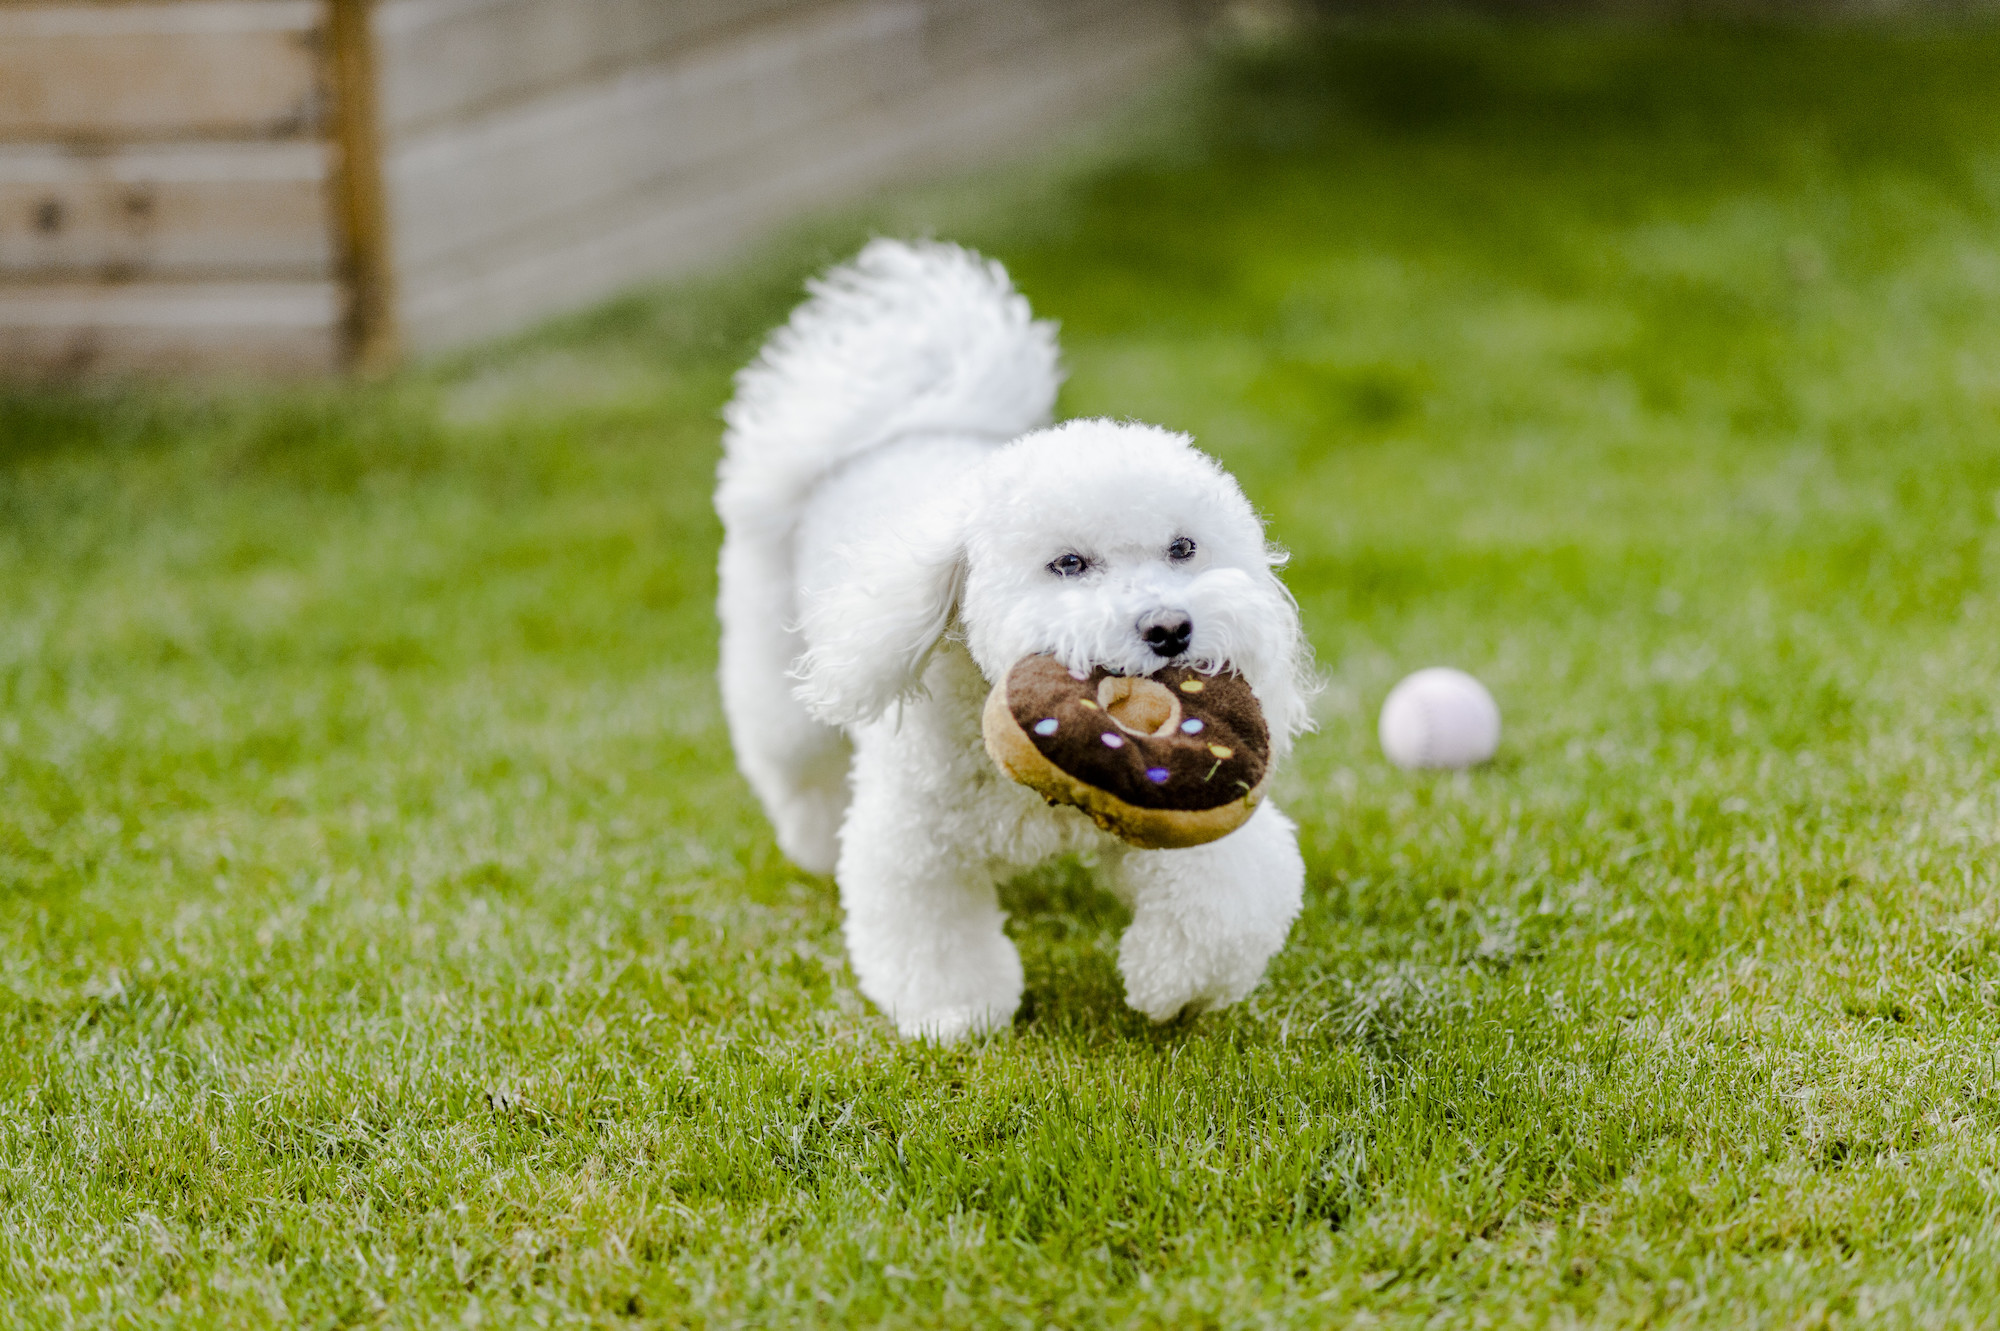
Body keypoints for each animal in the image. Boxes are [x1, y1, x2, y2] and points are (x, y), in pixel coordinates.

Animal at [716, 238, 1312, 1039]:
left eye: (1183, 548)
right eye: (1068, 564)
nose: (1169, 627)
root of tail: (898, 422)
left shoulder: (1180, 821)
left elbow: (1226, 904)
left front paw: (1168, 988)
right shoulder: (913, 844)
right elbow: (933, 935)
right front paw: (958, 1015)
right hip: (778, 677)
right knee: (797, 766)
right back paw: (812, 843)